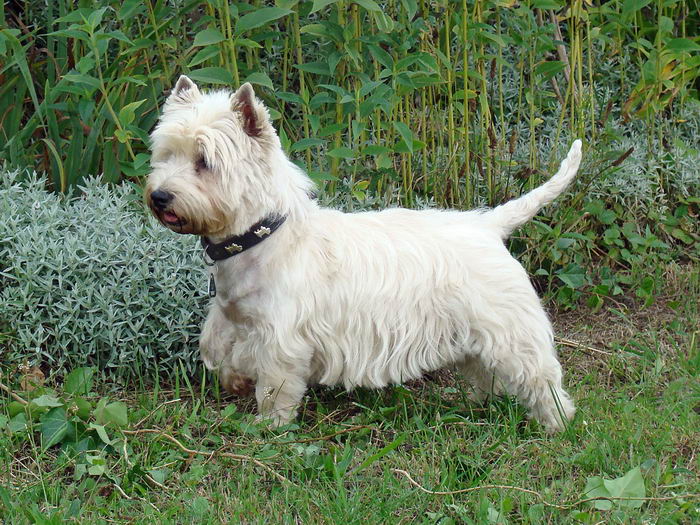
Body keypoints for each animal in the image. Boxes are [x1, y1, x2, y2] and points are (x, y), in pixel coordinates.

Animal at [146, 77, 580, 430]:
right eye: (166, 155)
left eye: (204, 162)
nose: (159, 196)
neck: (258, 238)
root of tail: (488, 225)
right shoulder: (230, 318)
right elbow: (217, 353)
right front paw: (235, 381)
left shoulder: (281, 339)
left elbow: (275, 387)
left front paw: (270, 428)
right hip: (471, 330)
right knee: (483, 371)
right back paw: (472, 403)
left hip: (510, 330)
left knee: (539, 377)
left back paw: (556, 425)